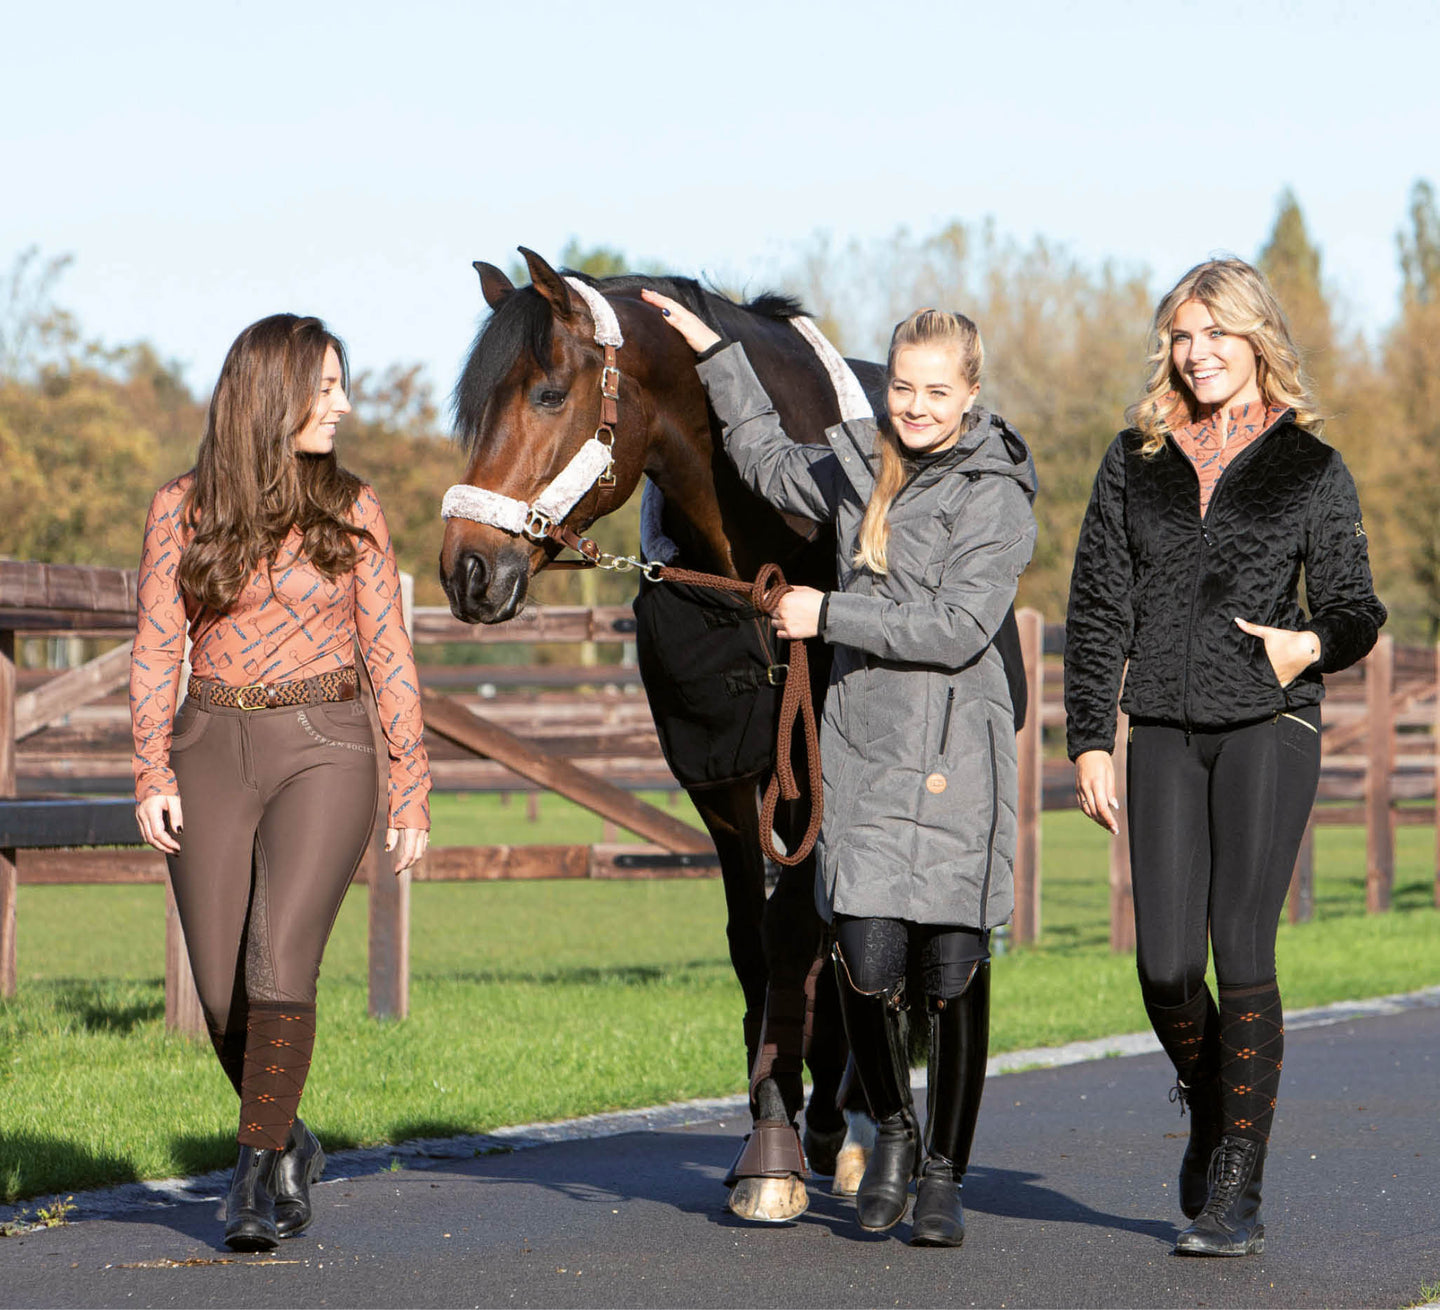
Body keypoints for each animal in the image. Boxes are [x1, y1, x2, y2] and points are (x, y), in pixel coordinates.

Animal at [439, 247, 884, 1222]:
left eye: (549, 394)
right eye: (474, 409)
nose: (467, 570)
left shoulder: (815, 781)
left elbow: (798, 939)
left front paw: (784, 1155)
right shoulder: (723, 789)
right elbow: (754, 950)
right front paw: (769, 1138)